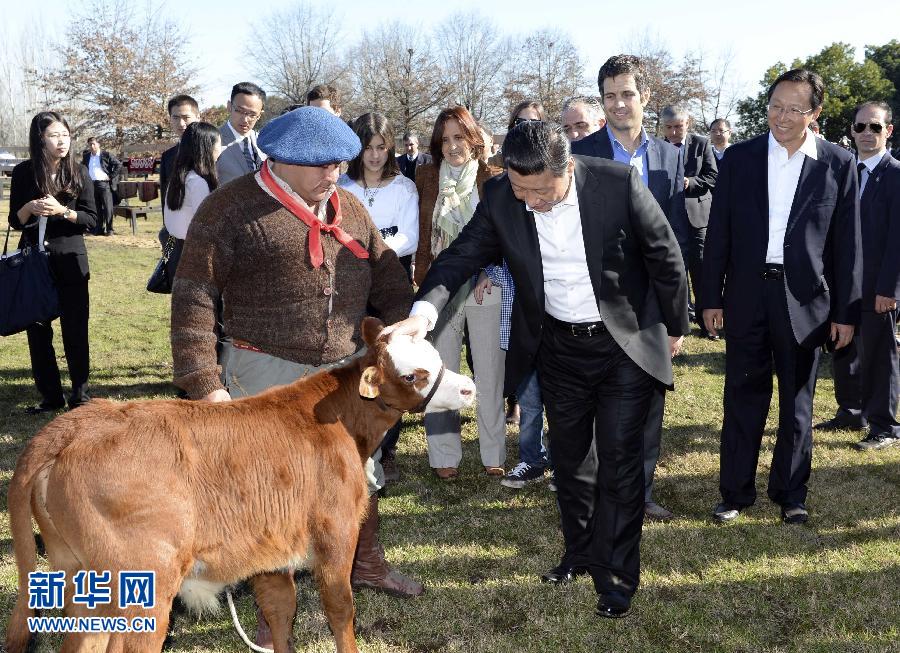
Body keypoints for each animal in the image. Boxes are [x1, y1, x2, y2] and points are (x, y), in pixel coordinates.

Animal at [3, 318, 474, 652]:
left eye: (434, 354)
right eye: (411, 375)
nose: (469, 388)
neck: (339, 421)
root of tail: (71, 426)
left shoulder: (270, 548)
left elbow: (281, 610)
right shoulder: (336, 531)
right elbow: (341, 611)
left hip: (76, 572)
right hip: (145, 581)